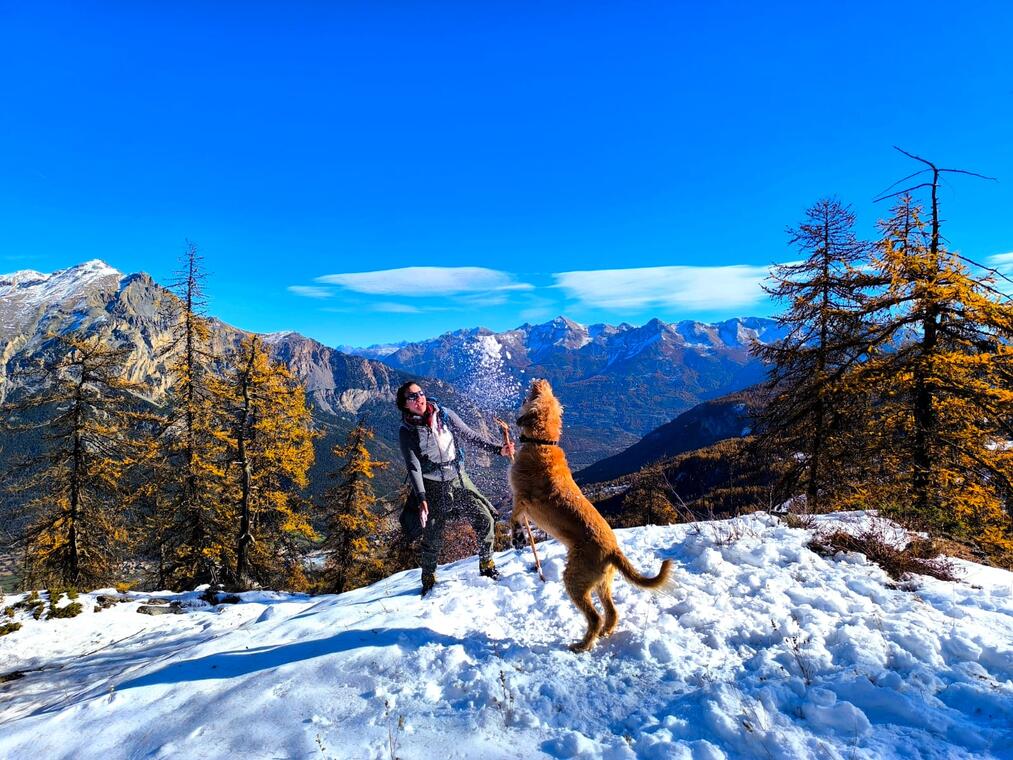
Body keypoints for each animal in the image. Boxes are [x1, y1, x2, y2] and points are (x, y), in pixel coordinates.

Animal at [506, 378, 672, 652]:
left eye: (536, 395)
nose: (541, 381)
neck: (543, 442)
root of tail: (614, 551)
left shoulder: (521, 498)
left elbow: (514, 517)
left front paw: (517, 535)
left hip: (575, 579)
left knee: (595, 617)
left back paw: (582, 645)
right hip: (602, 583)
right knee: (612, 612)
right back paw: (605, 633)